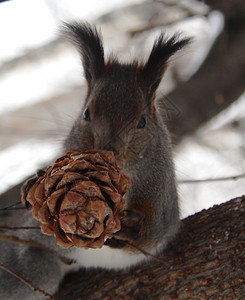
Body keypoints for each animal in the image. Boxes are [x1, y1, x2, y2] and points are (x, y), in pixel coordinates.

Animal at [0, 22, 189, 298]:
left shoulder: (162, 197)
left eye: (142, 121)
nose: (108, 149)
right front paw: (31, 186)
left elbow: (155, 230)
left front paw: (133, 229)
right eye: (86, 113)